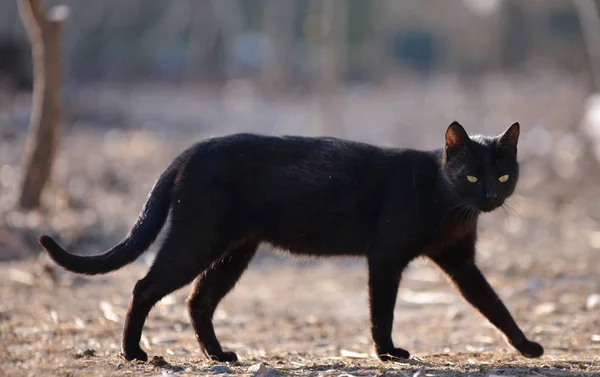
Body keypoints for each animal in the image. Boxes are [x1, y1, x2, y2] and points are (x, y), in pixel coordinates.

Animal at [37, 121, 544, 362]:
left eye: (503, 175)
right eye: (471, 175)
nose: (489, 196)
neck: (450, 204)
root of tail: (190, 150)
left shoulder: (460, 263)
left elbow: (494, 304)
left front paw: (526, 347)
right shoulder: (386, 257)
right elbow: (382, 310)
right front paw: (387, 353)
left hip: (235, 250)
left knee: (199, 300)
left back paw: (219, 355)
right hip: (197, 240)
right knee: (145, 286)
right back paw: (135, 354)